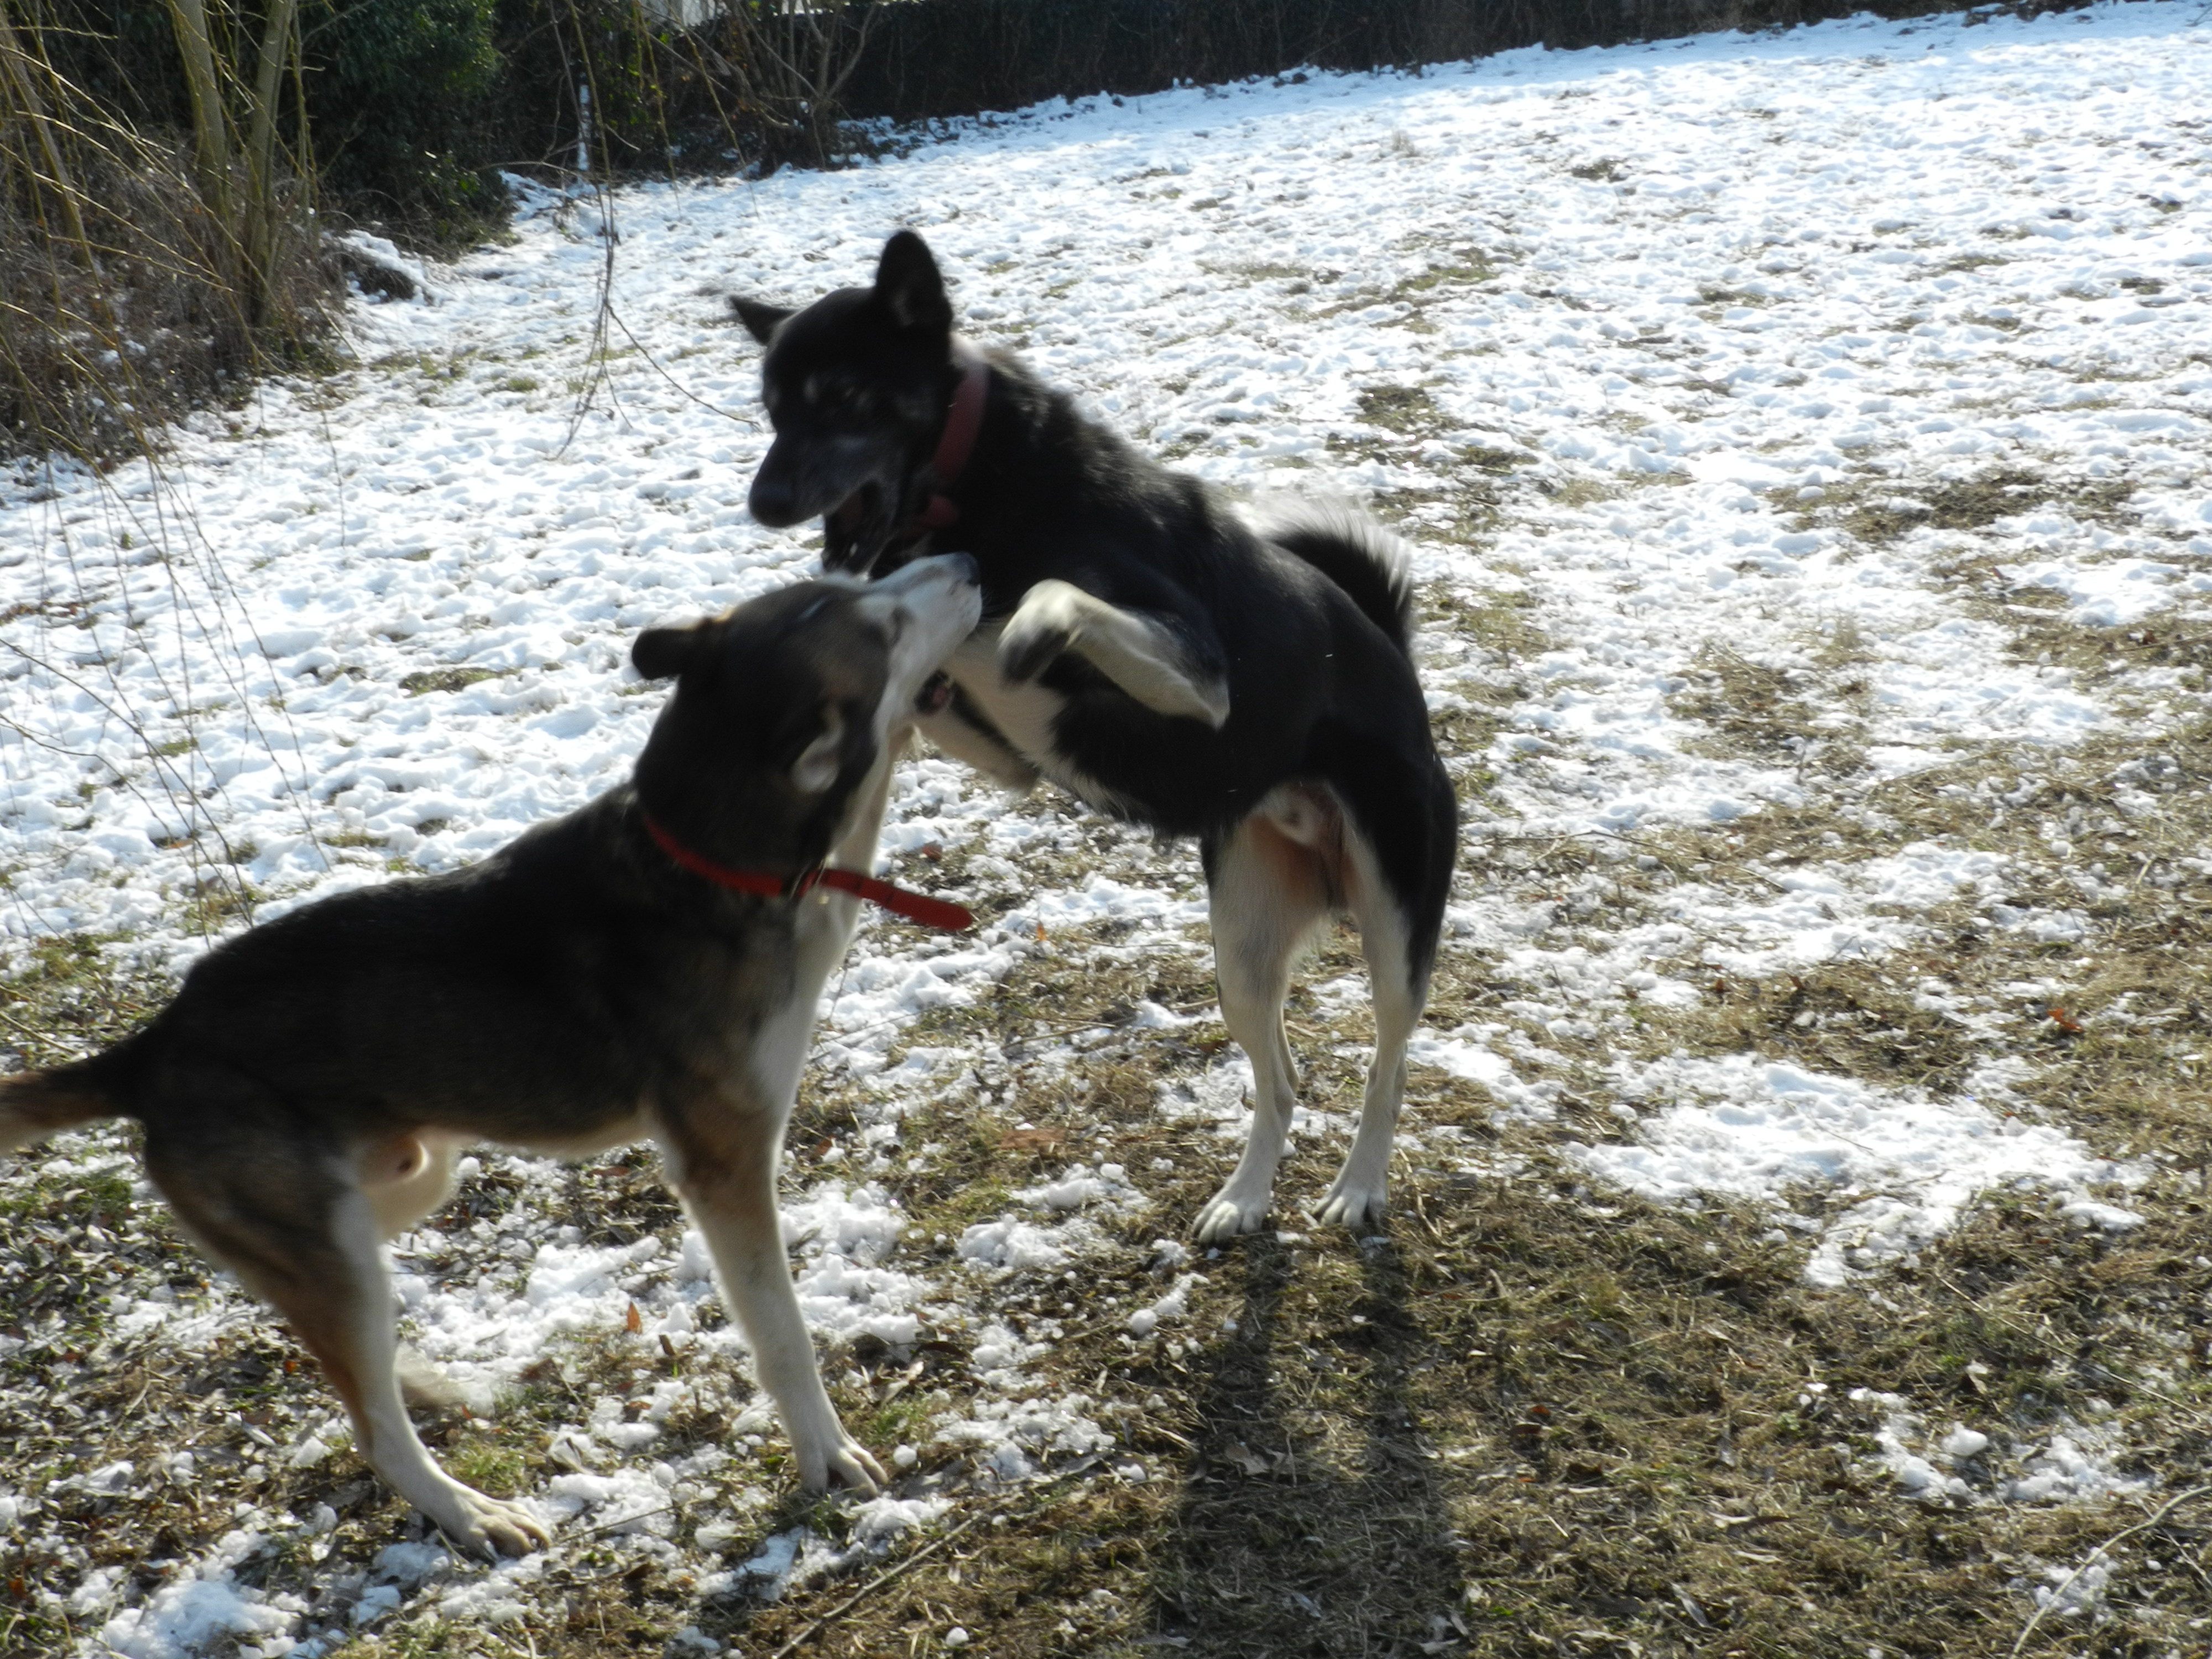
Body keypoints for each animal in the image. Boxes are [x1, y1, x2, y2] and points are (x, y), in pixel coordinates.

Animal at [0, 562, 987, 1557]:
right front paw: (826, 1454)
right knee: (373, 1426)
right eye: (887, 625)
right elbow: (783, 1335)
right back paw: (467, 1511)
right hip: (334, 1238)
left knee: (338, 1342)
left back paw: (416, 1377)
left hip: (397, 1187)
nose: (964, 564)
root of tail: (155, 1043)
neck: (720, 861)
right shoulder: (726, 1166)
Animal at [734, 231, 1460, 1248]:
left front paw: (1020, 629)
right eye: (771, 408)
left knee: (1388, 1065)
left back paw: (1359, 1187)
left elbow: (1053, 599)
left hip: (1395, 921)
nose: (763, 502)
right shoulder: (1004, 755)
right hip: (1243, 951)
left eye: (841, 396)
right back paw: (1244, 1198)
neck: (984, 489)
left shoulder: (1200, 678)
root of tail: (1395, 660)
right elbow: (920, 682)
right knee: (1282, 1077)